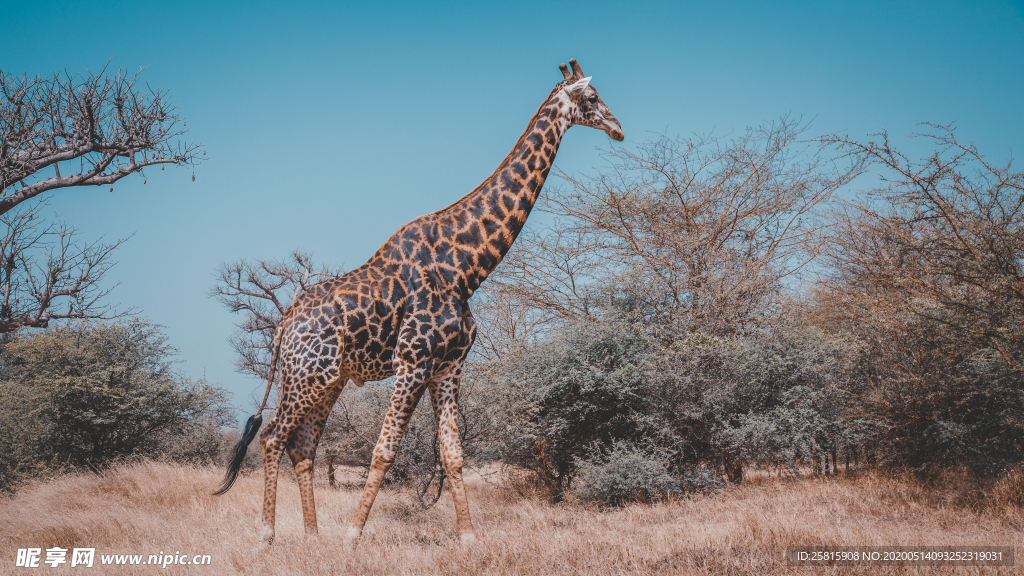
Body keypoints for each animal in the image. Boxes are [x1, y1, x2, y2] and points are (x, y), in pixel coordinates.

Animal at [216, 58, 622, 545]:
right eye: (592, 97)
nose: (618, 129)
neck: (466, 268)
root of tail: (282, 326)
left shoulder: (448, 365)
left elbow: (452, 454)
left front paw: (468, 539)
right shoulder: (413, 361)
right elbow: (384, 451)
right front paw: (352, 537)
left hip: (329, 380)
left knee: (303, 445)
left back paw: (313, 536)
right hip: (307, 376)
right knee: (273, 436)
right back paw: (267, 534)